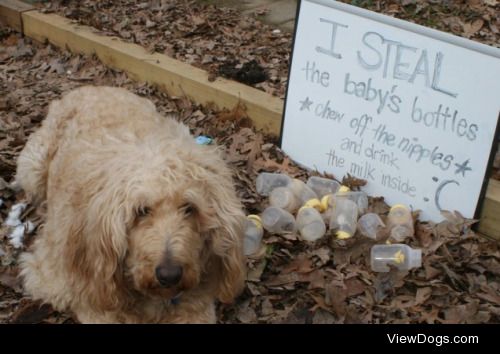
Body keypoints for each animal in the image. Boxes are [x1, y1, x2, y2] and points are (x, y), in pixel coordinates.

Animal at [16, 85, 247, 324]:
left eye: (189, 208)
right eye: (141, 211)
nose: (169, 275)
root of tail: (90, 87)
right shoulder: (57, 281)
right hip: (32, 167)